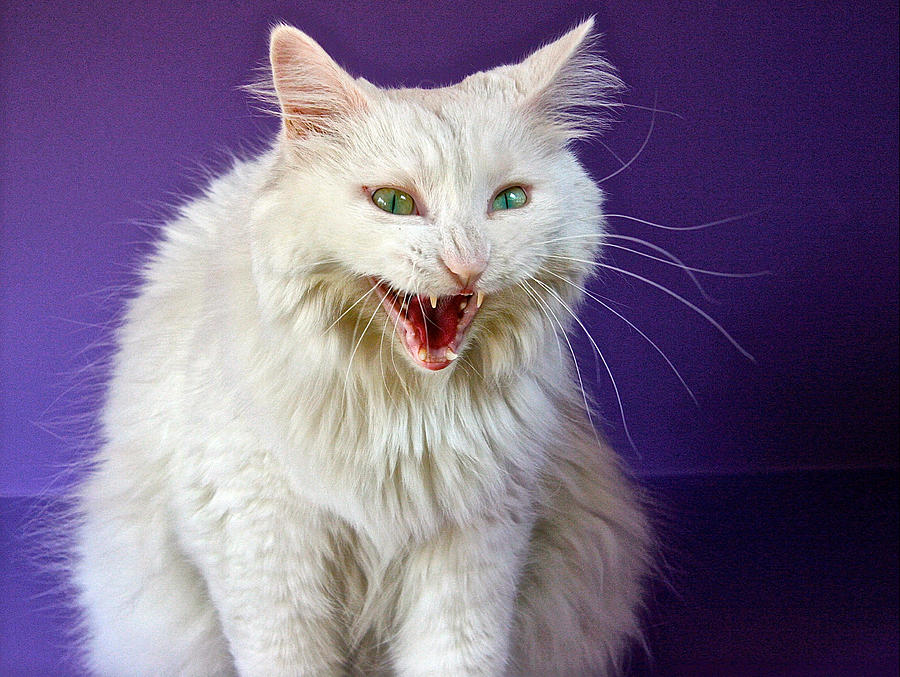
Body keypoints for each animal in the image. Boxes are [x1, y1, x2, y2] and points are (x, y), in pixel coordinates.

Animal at [70, 17, 648, 676]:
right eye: (394, 203)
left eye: (509, 201)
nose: (467, 264)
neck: (405, 413)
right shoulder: (263, 549)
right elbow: (285, 657)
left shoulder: (476, 548)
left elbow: (456, 656)